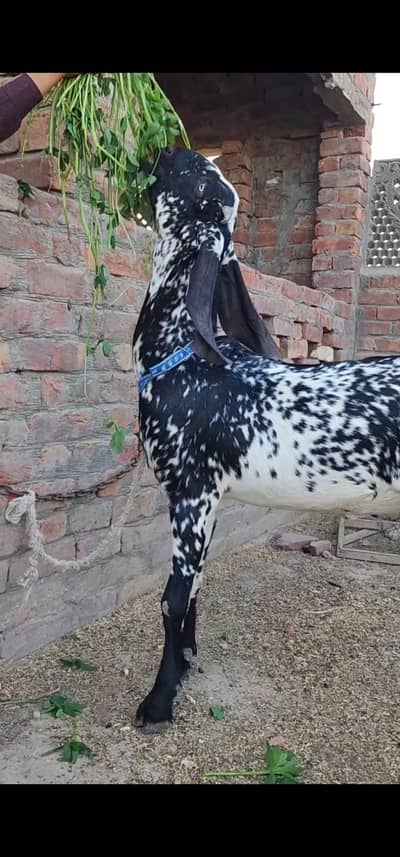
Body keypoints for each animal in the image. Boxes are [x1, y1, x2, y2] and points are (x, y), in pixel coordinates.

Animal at [132, 146, 400, 732]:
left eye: (199, 180)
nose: (172, 149)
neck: (183, 357)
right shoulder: (209, 500)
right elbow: (196, 584)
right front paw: (186, 663)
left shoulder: (190, 492)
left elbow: (172, 598)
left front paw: (158, 702)